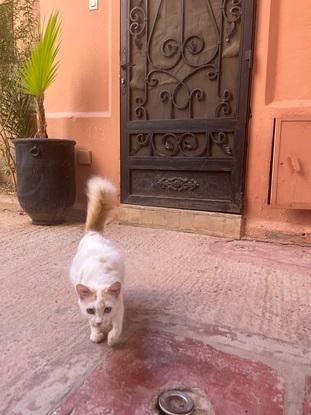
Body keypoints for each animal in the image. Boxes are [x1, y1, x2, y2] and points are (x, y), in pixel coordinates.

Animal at [70, 177, 125, 346]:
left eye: (107, 309)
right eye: (91, 310)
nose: (100, 322)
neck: (99, 278)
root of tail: (93, 233)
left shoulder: (119, 306)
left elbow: (117, 326)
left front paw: (112, 338)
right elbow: (90, 323)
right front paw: (96, 333)